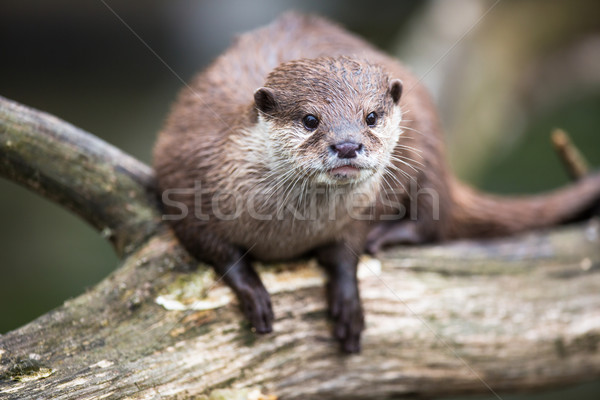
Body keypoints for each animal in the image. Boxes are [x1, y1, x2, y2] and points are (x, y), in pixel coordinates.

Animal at [154, 13, 600, 354]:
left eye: (370, 116)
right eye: (310, 119)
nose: (347, 145)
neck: (289, 231)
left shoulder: (356, 215)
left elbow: (347, 250)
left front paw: (348, 300)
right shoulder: (186, 177)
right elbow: (213, 247)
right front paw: (253, 292)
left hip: (428, 152)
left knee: (434, 218)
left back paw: (389, 235)